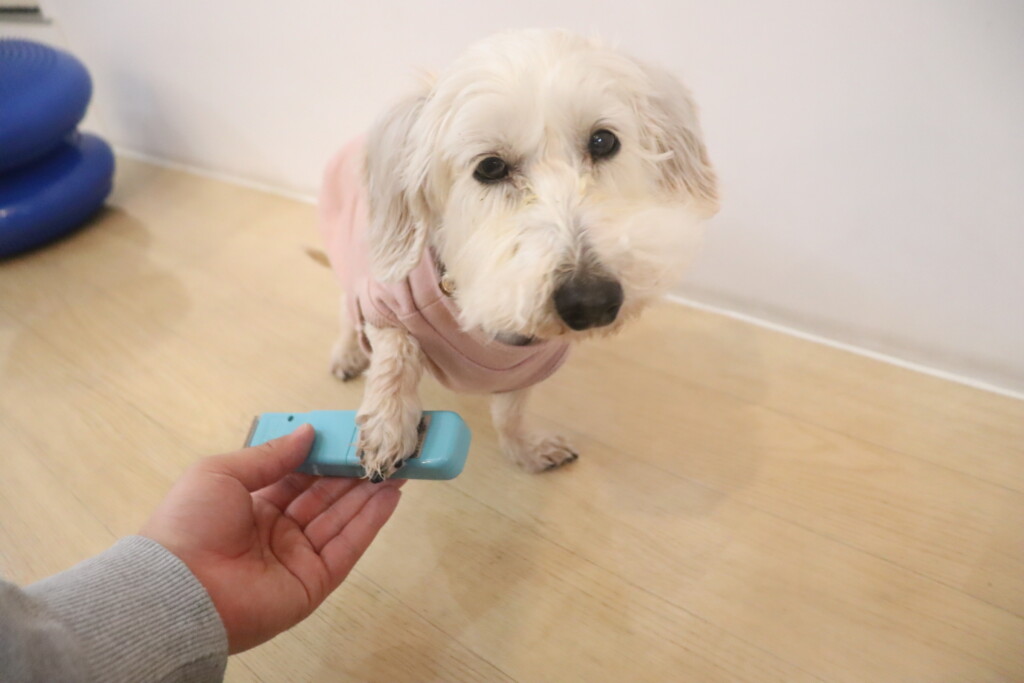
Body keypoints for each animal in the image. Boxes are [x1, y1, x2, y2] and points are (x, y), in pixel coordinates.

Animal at [319, 29, 718, 481]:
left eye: (603, 141)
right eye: (490, 167)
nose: (593, 302)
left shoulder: (526, 368)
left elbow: (510, 413)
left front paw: (526, 449)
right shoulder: (387, 302)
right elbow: (395, 355)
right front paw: (387, 425)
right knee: (347, 311)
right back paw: (348, 353)